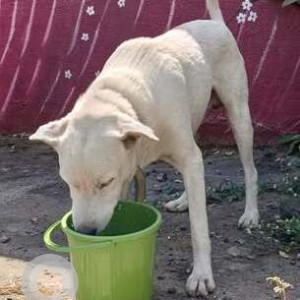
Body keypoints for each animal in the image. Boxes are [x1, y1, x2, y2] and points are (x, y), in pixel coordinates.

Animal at [30, 0, 258, 296]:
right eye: (68, 183)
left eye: (105, 182)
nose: (87, 232)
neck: (124, 98)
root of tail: (216, 24)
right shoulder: (131, 171)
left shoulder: (177, 156)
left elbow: (199, 229)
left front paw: (201, 275)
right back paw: (184, 200)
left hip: (239, 116)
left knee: (248, 169)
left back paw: (251, 214)